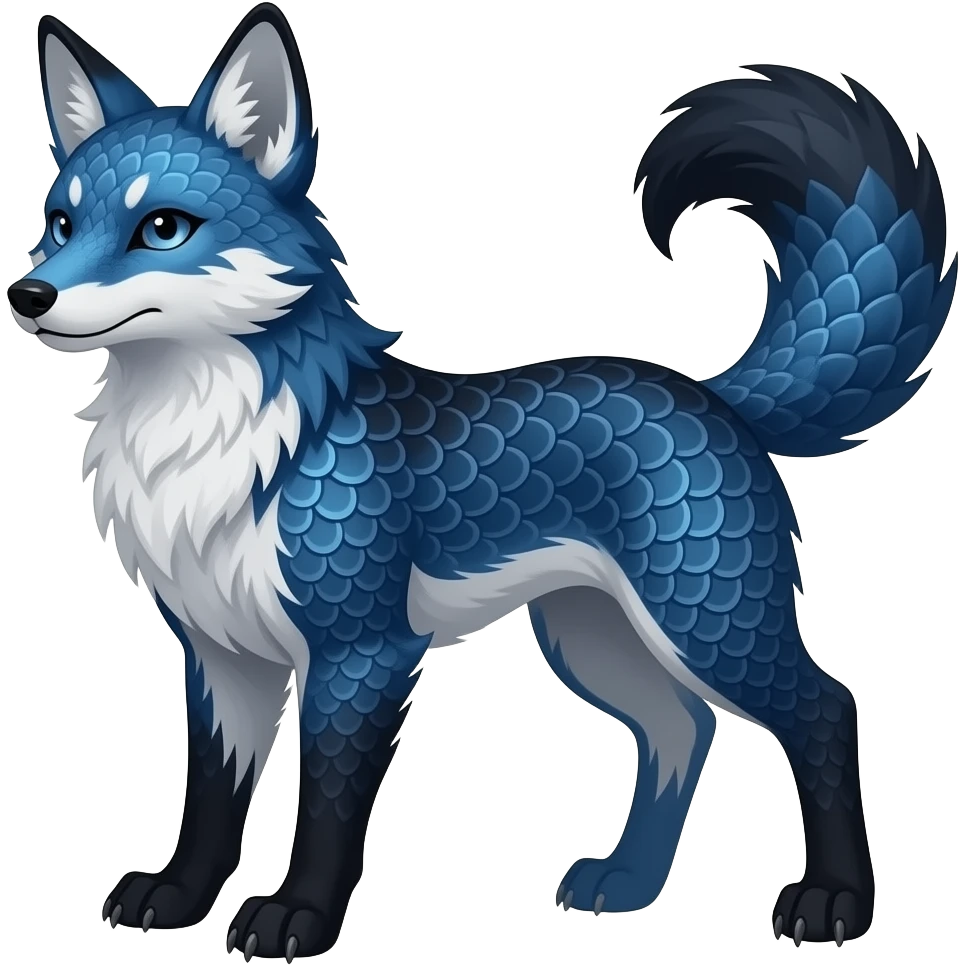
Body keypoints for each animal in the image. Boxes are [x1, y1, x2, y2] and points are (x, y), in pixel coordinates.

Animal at [7, 4, 954, 960]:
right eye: (61, 222)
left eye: (163, 228)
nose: (28, 294)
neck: (223, 453)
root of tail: (713, 395)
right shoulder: (218, 656)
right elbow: (210, 803)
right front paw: (178, 897)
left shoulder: (363, 657)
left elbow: (327, 813)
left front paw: (299, 916)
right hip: (591, 640)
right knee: (683, 729)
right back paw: (628, 884)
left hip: (709, 624)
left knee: (826, 711)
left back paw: (836, 899)